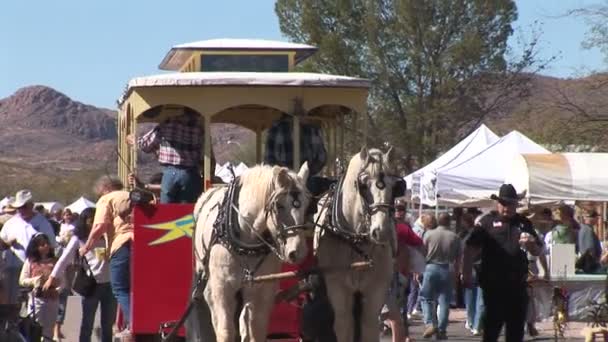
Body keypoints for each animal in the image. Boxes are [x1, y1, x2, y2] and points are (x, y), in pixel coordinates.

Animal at [188, 163, 312, 342]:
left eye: (307, 206)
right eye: (279, 206)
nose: (298, 251)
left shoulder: (261, 290)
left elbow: (256, 330)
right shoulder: (223, 288)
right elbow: (226, 331)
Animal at [314, 147, 404, 342]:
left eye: (396, 187)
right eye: (363, 185)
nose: (382, 232)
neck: (355, 242)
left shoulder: (375, 291)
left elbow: (369, 327)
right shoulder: (338, 290)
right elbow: (343, 326)